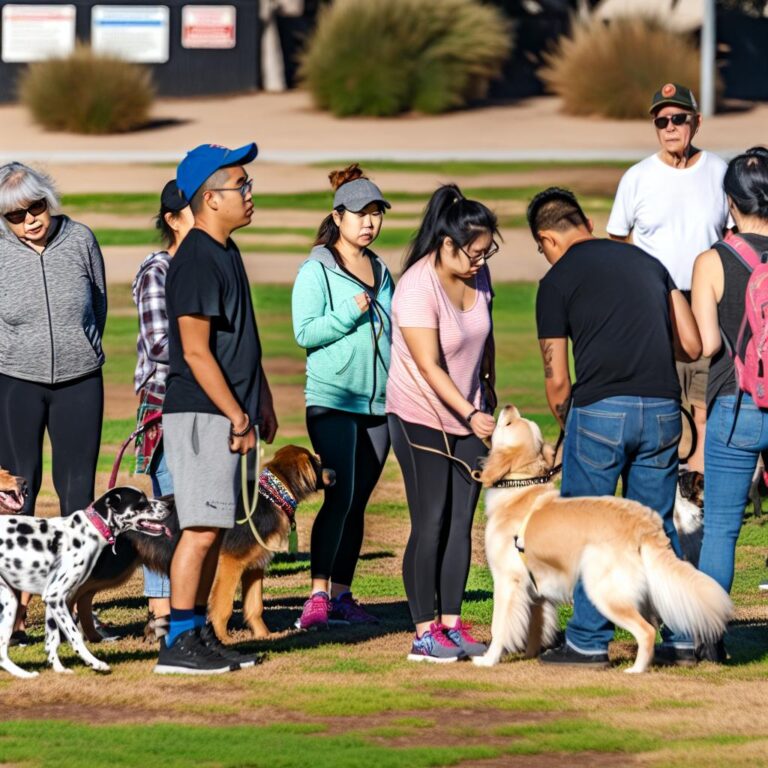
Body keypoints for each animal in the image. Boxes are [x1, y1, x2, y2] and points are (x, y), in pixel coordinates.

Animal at [0, 486, 171, 680]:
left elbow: (52, 641)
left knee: (2, 653)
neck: (87, 531)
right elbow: (75, 635)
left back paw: (24, 674)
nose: (168, 505)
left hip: (10, 603)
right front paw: (94, 662)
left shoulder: (53, 602)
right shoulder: (55, 597)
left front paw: (59, 669)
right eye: (142, 502)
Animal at [74, 444, 332, 640]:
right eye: (316, 462)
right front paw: (224, 638)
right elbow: (223, 606)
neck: (272, 496)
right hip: (114, 568)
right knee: (79, 593)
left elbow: (255, 607)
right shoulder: (230, 564)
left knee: (83, 595)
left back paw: (94, 635)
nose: (335, 473)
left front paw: (263, 636)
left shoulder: (254, 566)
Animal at [474, 404, 732, 676]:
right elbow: (536, 627)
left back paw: (635, 669)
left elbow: (499, 627)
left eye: (510, 423)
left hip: (604, 592)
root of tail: (645, 524)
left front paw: (488, 659)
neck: (519, 486)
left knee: (647, 631)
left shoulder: (507, 580)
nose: (508, 406)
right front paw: (531, 655)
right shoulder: (536, 589)